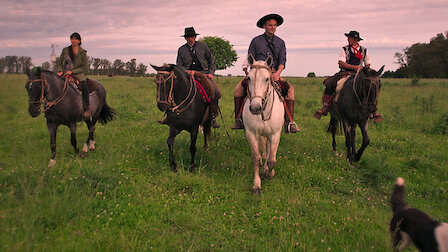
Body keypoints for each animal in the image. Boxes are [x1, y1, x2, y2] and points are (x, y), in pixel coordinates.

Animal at [243, 54, 286, 193]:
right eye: (249, 78)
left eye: (267, 79)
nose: (256, 107)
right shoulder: (251, 134)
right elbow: (256, 159)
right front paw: (257, 185)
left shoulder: (275, 134)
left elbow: (272, 159)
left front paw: (269, 173)